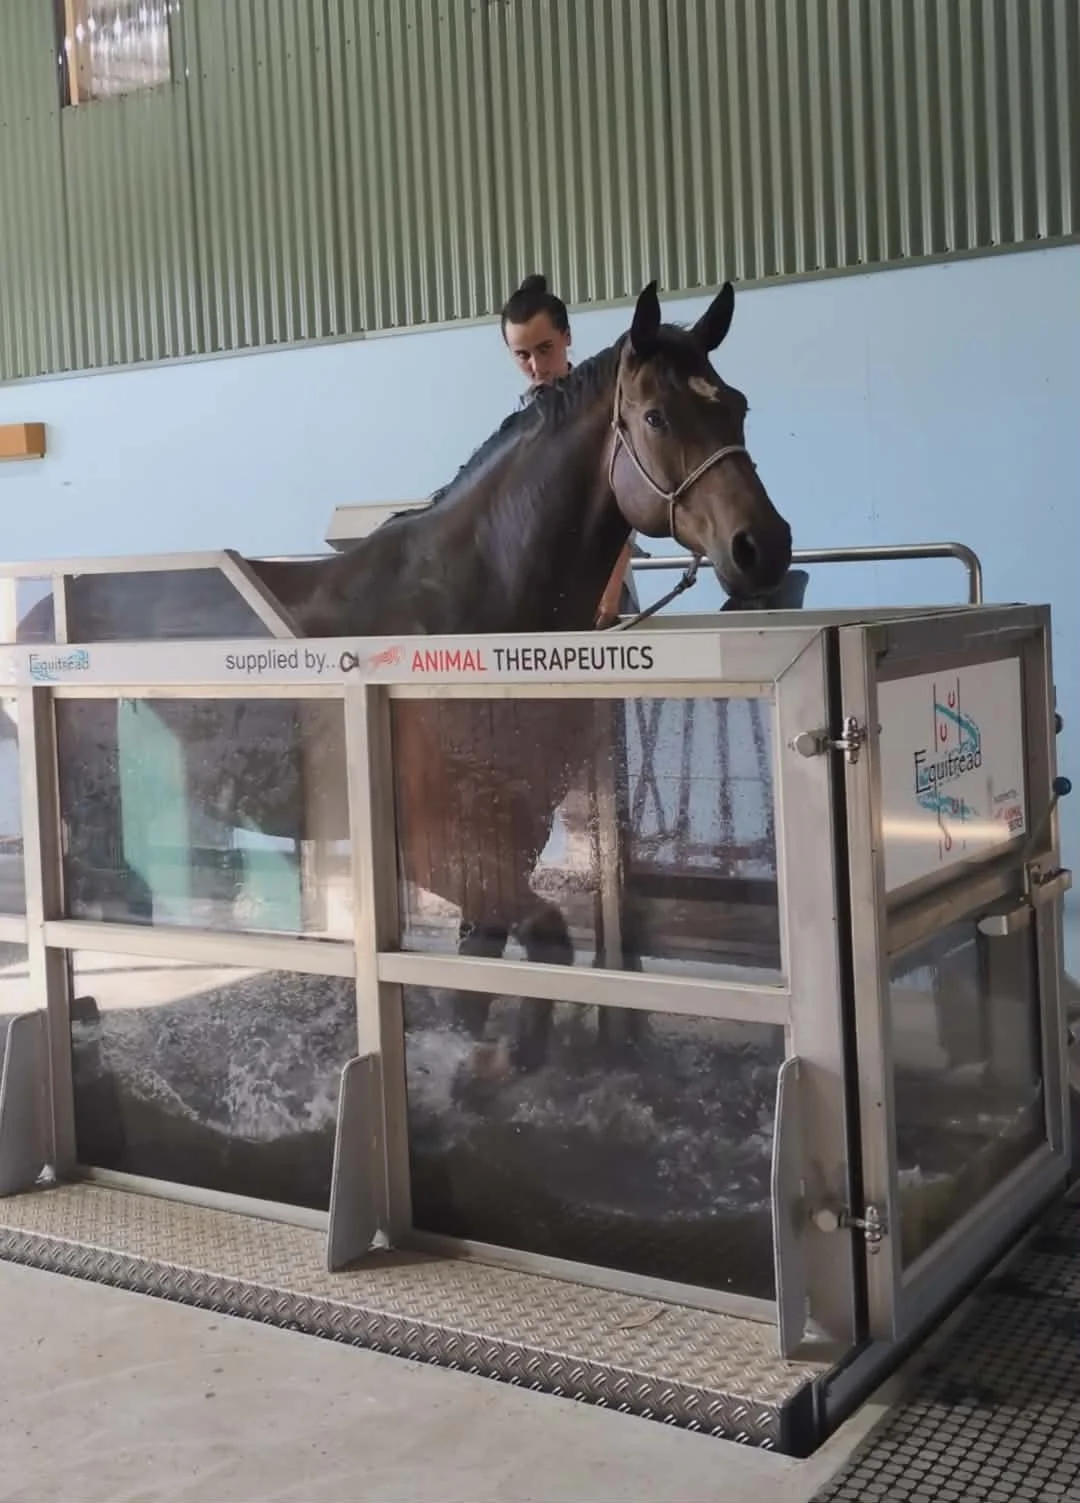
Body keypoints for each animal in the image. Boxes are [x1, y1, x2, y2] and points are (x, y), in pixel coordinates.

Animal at [21, 281, 793, 1077]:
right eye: (656, 415)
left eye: (735, 405)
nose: (763, 547)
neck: (466, 613)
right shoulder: (435, 848)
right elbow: (543, 935)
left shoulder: (512, 834)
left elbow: (485, 957)